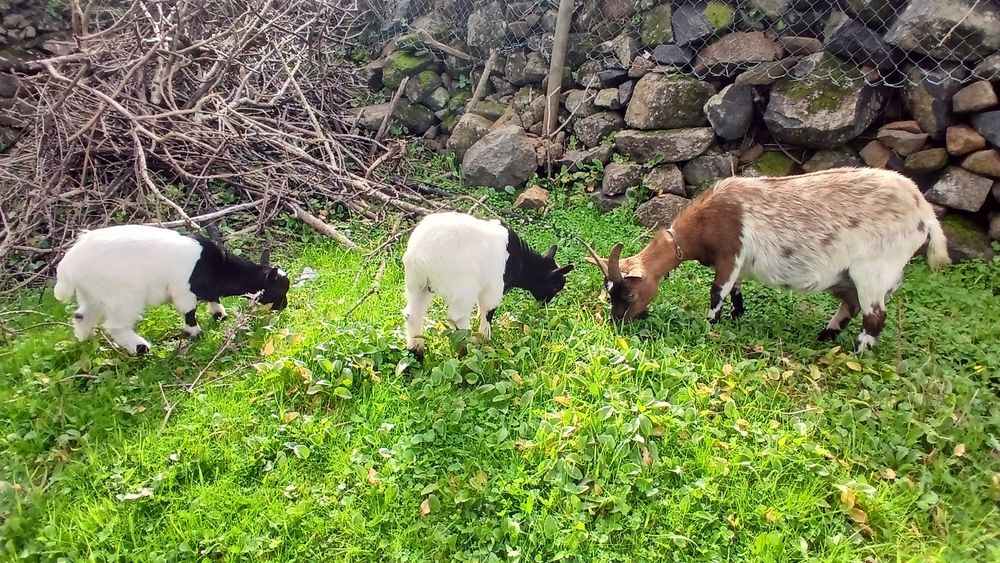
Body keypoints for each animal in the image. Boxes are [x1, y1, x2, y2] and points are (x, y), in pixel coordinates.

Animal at [54, 225, 290, 355]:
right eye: (279, 290)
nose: (284, 307)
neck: (217, 267)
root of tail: (69, 265)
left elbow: (213, 297)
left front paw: (219, 314)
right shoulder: (183, 291)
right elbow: (189, 312)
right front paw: (196, 333)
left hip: (92, 294)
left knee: (81, 315)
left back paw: (86, 341)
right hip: (124, 297)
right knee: (116, 325)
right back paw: (140, 348)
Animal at [402, 212, 574, 358]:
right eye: (554, 287)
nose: (544, 304)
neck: (516, 260)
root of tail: (421, 255)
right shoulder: (494, 285)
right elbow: (488, 312)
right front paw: (485, 340)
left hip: (418, 284)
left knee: (412, 314)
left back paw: (416, 350)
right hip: (463, 287)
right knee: (457, 317)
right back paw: (470, 346)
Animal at [583, 167, 950, 352]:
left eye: (628, 292)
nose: (618, 321)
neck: (708, 220)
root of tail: (925, 213)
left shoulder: (730, 251)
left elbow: (717, 291)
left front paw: (710, 324)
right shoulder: (739, 264)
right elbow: (735, 291)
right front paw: (737, 316)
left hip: (875, 268)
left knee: (874, 316)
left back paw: (858, 353)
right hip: (848, 274)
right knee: (851, 304)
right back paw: (825, 336)